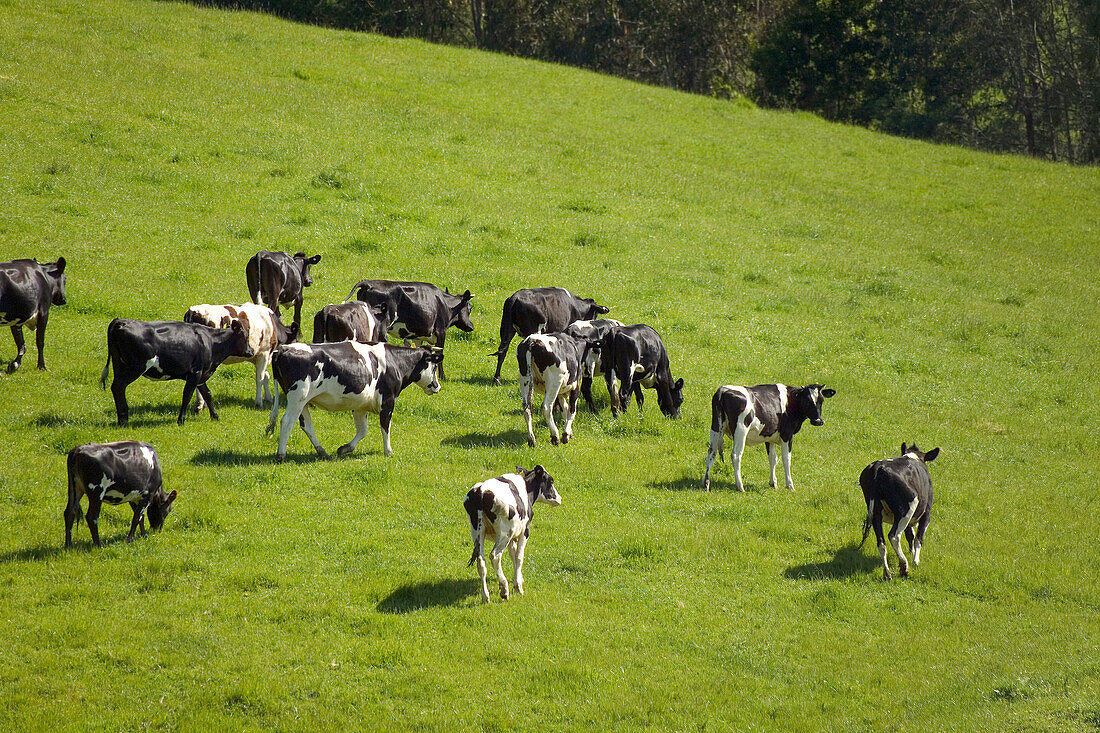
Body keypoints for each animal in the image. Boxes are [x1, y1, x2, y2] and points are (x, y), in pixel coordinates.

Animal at [98, 316, 253, 424]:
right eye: (245, 336)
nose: (251, 351)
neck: (211, 342)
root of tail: (121, 321)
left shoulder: (201, 374)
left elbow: (207, 394)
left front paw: (215, 416)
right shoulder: (195, 373)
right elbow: (187, 395)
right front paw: (181, 420)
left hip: (119, 365)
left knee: (117, 388)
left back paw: (122, 418)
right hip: (135, 367)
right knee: (118, 387)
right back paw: (123, 419)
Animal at [266, 338, 442, 460]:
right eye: (434, 367)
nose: (437, 386)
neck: (395, 362)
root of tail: (283, 349)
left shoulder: (360, 406)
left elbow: (362, 430)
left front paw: (345, 448)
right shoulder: (387, 401)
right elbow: (385, 427)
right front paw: (388, 451)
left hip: (303, 402)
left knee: (306, 425)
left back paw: (322, 452)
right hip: (297, 397)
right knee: (287, 421)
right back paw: (281, 455)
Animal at [464, 464, 563, 603]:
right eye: (551, 481)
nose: (559, 498)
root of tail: (481, 491)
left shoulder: (512, 537)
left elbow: (513, 554)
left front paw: (519, 578)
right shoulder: (524, 532)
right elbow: (519, 556)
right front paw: (518, 587)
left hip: (477, 532)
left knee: (481, 561)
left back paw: (486, 596)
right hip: (504, 533)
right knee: (494, 556)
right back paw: (504, 590)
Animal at [699, 383, 836, 490]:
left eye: (821, 400)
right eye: (807, 401)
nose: (818, 421)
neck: (790, 402)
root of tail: (723, 390)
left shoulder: (769, 436)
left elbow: (773, 458)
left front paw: (773, 483)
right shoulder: (787, 435)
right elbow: (786, 459)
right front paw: (790, 485)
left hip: (716, 427)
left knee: (711, 453)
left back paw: (706, 484)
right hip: (740, 430)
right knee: (736, 455)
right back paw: (740, 486)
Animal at [858, 442, 937, 581]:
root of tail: (878, 467)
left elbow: (910, 535)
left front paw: (911, 552)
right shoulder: (927, 513)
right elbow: (918, 538)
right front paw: (915, 561)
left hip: (876, 512)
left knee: (881, 542)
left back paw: (887, 573)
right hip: (906, 508)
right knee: (893, 536)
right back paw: (904, 567)